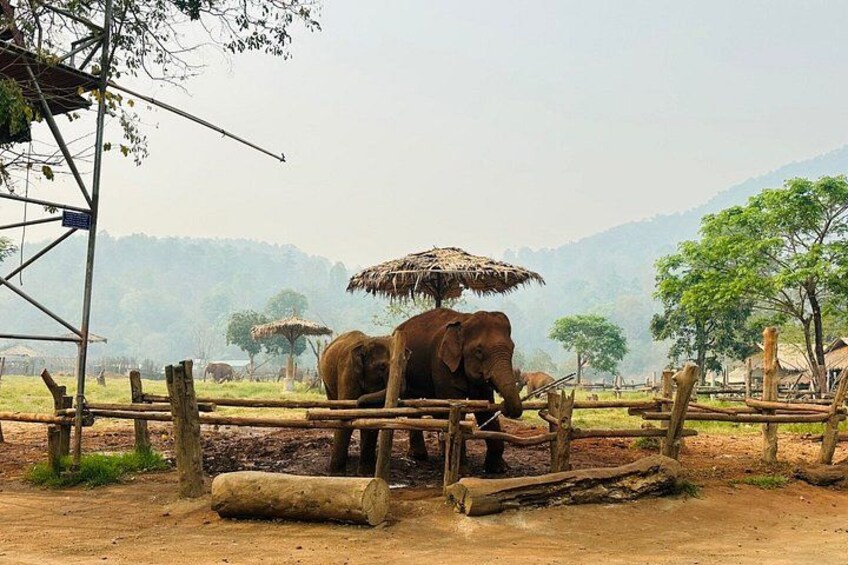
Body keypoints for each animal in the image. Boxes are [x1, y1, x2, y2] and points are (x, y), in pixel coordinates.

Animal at [320, 330, 394, 475]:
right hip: (326, 383)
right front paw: (337, 474)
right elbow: (345, 415)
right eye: (382, 366)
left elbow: (372, 417)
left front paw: (366, 474)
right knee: (335, 411)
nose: (359, 402)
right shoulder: (348, 371)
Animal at [396, 308, 523, 474]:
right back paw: (419, 456)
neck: (465, 319)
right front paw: (462, 471)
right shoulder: (442, 363)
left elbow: (485, 409)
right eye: (479, 351)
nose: (505, 406)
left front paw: (498, 469)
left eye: (512, 348)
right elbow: (455, 404)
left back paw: (441, 453)